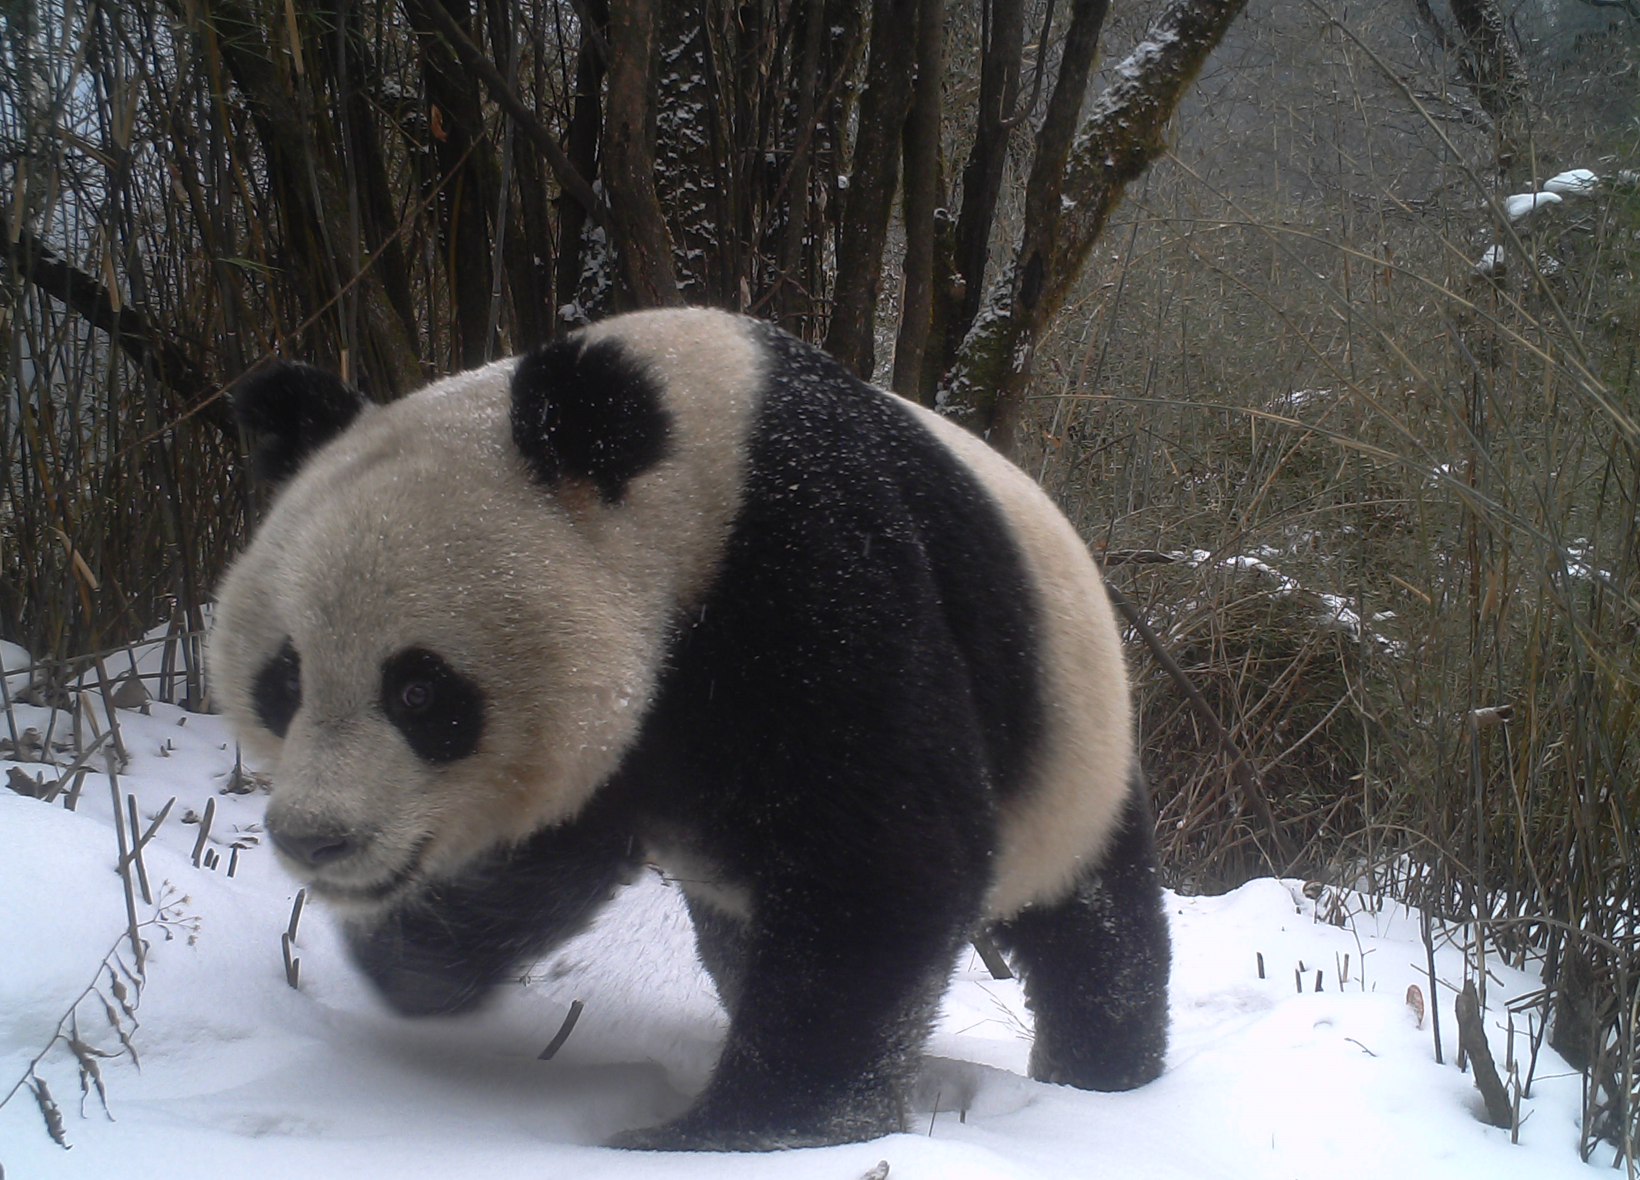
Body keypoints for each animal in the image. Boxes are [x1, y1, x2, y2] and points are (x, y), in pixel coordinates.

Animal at [211, 306, 1174, 1153]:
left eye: (418, 692)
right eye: (284, 680)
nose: (315, 839)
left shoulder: (813, 565)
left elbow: (888, 857)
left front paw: (751, 1129)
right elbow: (545, 857)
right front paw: (413, 961)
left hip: (1080, 743)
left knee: (1097, 927)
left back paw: (1104, 1076)